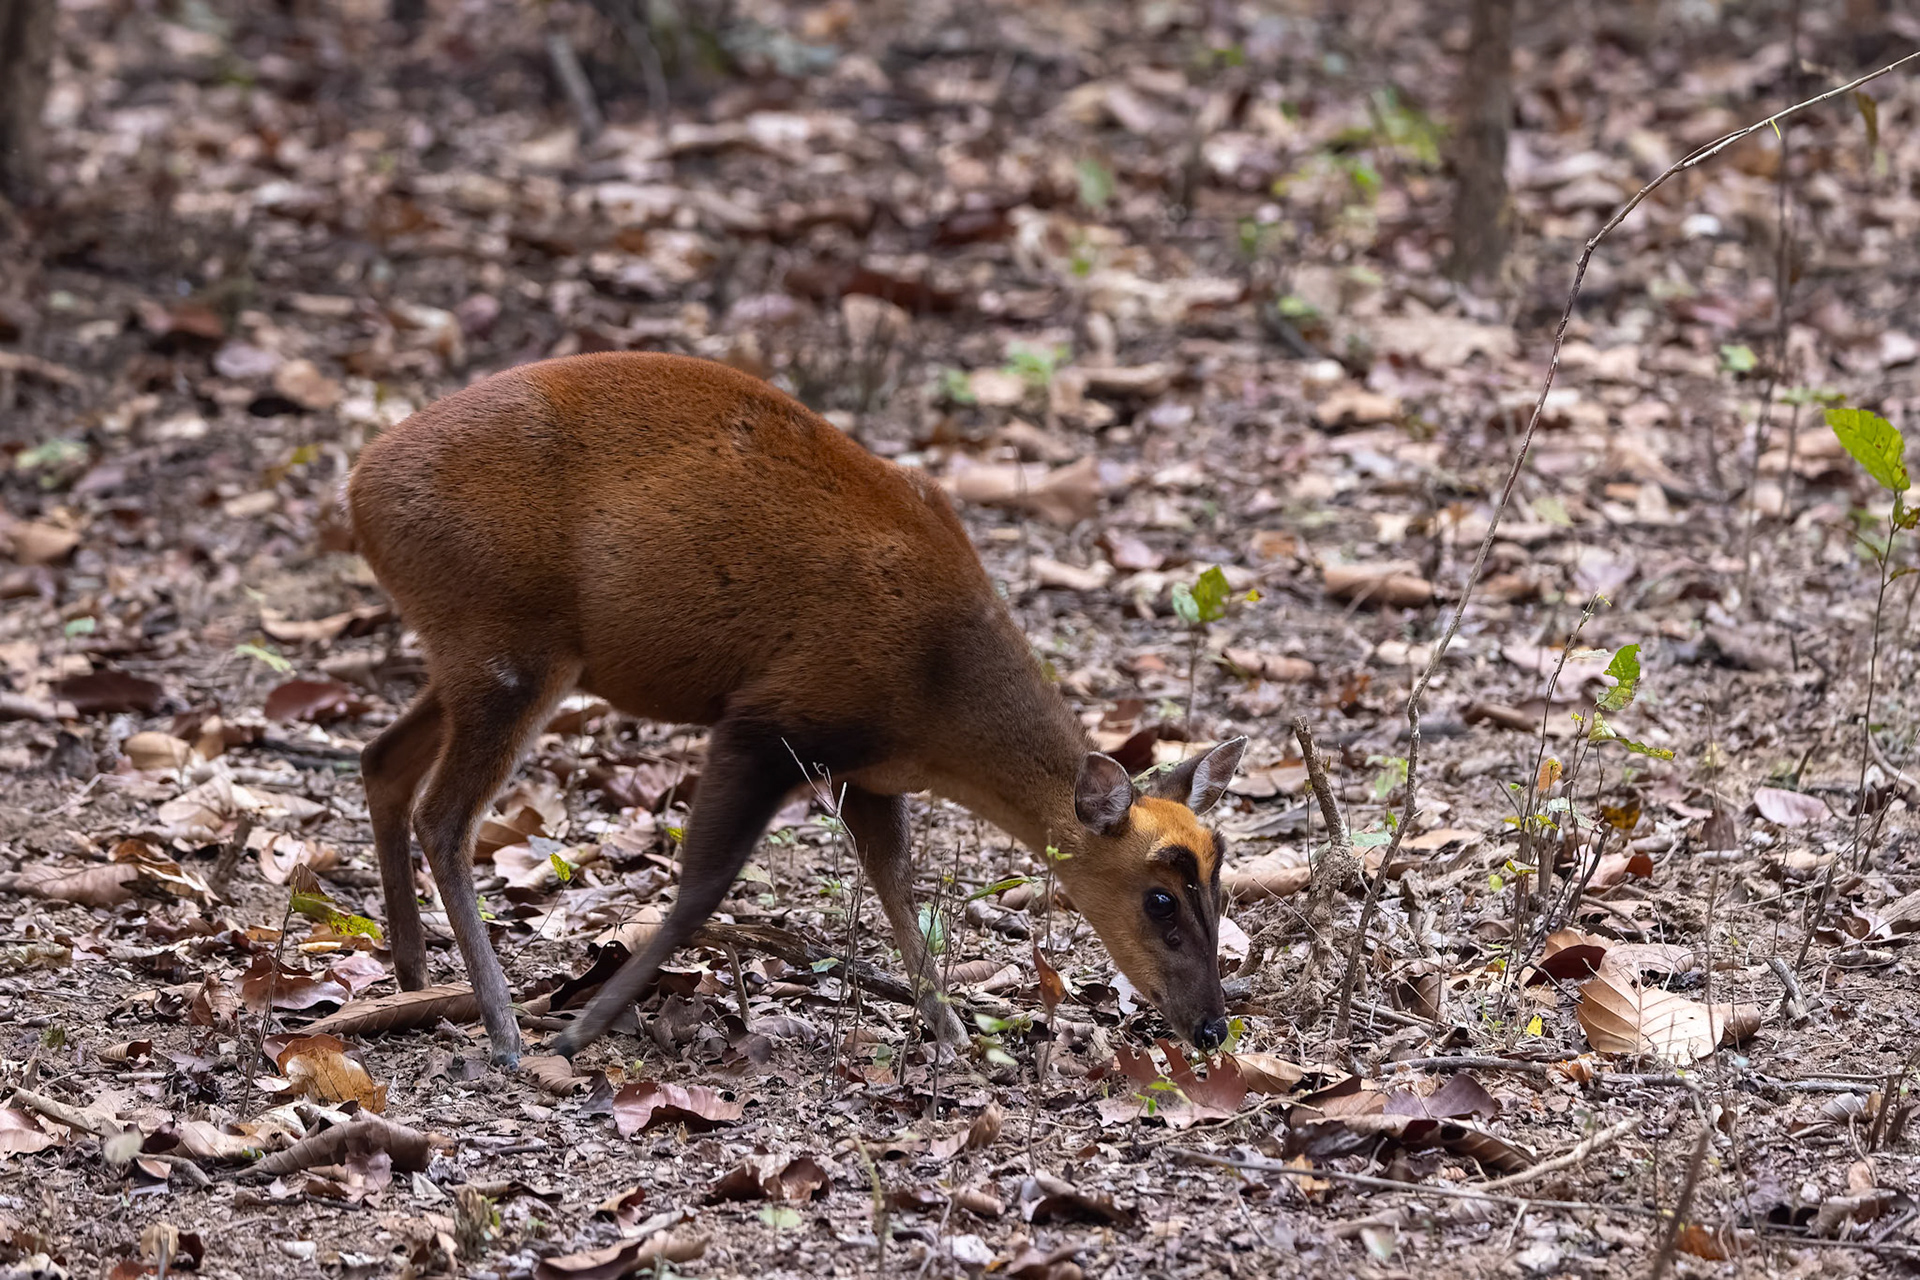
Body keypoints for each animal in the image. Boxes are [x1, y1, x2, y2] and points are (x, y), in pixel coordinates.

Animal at [348, 351, 1249, 1068]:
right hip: (508, 642)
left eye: (1221, 881)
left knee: (381, 757)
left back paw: (410, 977)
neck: (942, 693)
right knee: (445, 816)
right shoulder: (769, 719)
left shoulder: (871, 774)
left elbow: (898, 888)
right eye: (1160, 899)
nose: (1210, 1027)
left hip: (475, 651)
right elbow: (704, 886)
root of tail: (358, 487)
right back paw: (503, 1028)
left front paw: (953, 1033)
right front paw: (579, 1030)